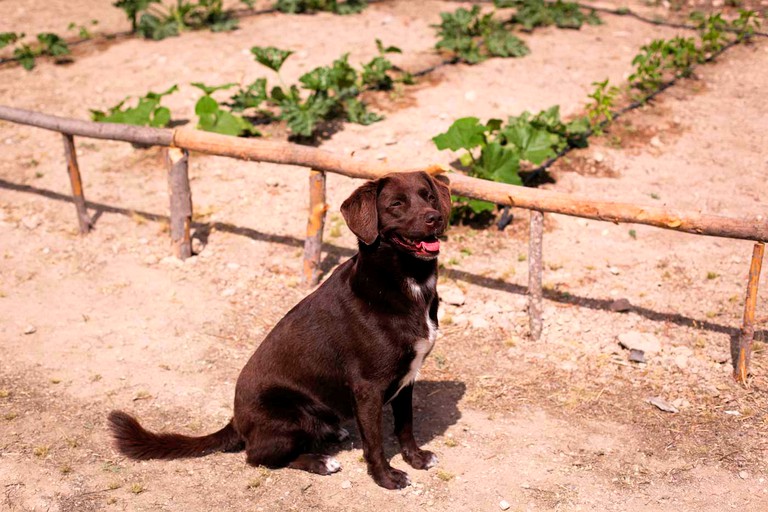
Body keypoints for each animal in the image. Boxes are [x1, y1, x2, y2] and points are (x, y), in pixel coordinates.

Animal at [111, 171, 452, 488]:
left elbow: (405, 425)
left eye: (429, 197)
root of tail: (236, 421)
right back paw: (320, 461)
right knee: (258, 457)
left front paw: (416, 459)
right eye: (396, 204)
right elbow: (376, 443)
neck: (405, 281)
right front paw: (386, 478)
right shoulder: (368, 388)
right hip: (294, 414)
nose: (434, 218)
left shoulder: (407, 379)